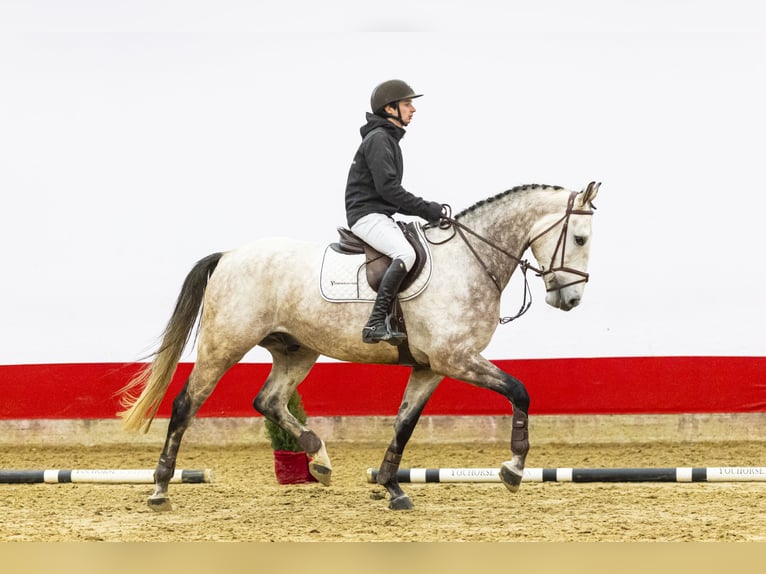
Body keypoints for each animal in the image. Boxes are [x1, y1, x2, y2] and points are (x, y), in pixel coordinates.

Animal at [119, 181, 600, 511]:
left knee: (268, 400)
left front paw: (392, 486)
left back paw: (319, 460)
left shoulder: (431, 366)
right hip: (225, 345)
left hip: (297, 350)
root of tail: (230, 255)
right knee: (186, 404)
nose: (571, 299)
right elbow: (520, 391)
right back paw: (160, 487)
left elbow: (404, 423)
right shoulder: (457, 358)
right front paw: (513, 469)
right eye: (579, 238)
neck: (468, 261)